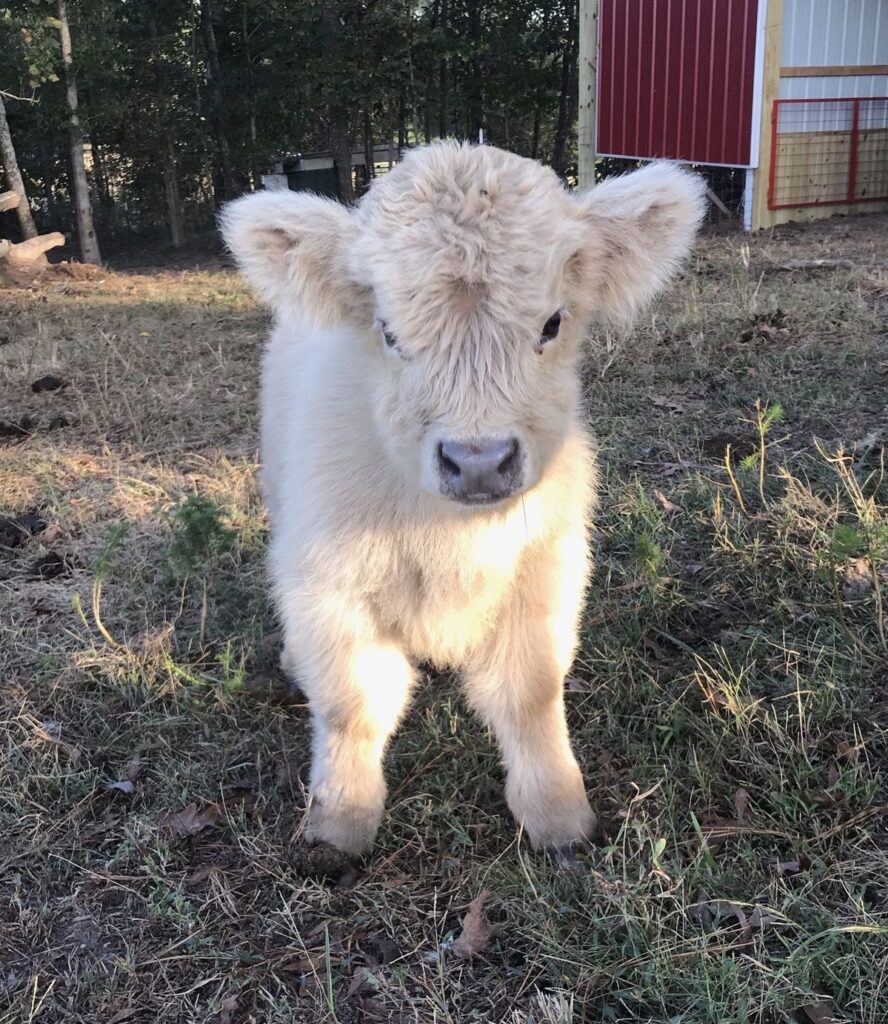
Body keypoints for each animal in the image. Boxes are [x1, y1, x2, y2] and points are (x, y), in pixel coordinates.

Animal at [221, 142, 705, 860]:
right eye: (389, 332)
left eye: (552, 323)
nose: (478, 462)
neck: (453, 533)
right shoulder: (329, 587)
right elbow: (351, 706)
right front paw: (339, 825)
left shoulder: (545, 572)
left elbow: (531, 693)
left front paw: (559, 818)